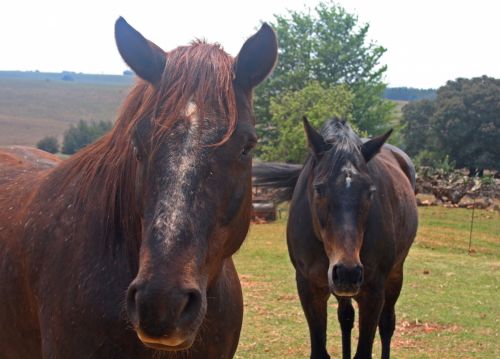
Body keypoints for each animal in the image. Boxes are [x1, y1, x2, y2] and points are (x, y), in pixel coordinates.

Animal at [254, 117, 418, 358]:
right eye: (318, 189)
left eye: (371, 191)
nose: (348, 272)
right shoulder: (310, 288)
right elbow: (320, 349)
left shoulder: (373, 292)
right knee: (346, 319)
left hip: (395, 274)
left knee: (387, 324)